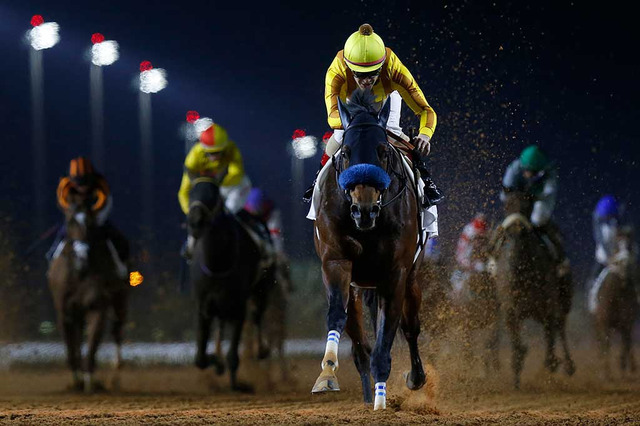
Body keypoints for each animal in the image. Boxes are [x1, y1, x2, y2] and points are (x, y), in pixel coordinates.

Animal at [47, 197, 129, 392]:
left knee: (117, 329)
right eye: (70, 221)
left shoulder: (97, 307)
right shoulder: (65, 312)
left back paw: (115, 376)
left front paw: (89, 382)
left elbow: (92, 346)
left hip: (121, 299)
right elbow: (71, 347)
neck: (80, 273)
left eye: (91, 224)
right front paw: (76, 381)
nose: (81, 256)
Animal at [188, 178, 275, 392]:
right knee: (220, 326)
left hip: (261, 290)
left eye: (214, 196)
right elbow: (200, 358)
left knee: (257, 316)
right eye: (190, 194)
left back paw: (261, 349)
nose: (195, 222)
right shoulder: (204, 306)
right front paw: (216, 362)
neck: (217, 262)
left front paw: (237, 385)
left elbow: (233, 355)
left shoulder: (238, 307)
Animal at [310, 90, 426, 410]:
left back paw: (414, 378)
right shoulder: (336, 262)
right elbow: (337, 316)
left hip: (412, 278)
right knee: (361, 344)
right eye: (346, 152)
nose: (364, 209)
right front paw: (327, 374)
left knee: (411, 327)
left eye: (383, 151)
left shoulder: (396, 272)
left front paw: (382, 399)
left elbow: (390, 331)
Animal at [491, 190, 575, 388]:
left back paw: (568, 365)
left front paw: (551, 369)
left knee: (560, 326)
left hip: (564, 299)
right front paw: (516, 378)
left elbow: (551, 339)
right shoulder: (510, 309)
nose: (516, 229)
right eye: (506, 205)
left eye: (528, 204)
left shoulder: (548, 306)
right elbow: (516, 345)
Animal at [591, 226, 639, 378]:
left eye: (629, 245)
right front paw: (607, 373)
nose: (625, 264)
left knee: (628, 343)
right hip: (597, 324)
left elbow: (625, 345)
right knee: (601, 343)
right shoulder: (604, 322)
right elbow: (606, 345)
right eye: (616, 246)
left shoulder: (626, 323)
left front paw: (623, 369)